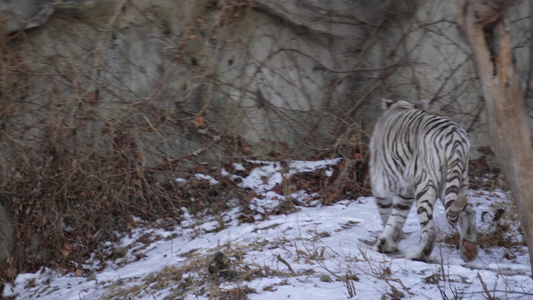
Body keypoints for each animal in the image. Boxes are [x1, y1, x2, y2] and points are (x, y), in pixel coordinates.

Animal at [368, 99, 476, 262]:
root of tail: (455, 139)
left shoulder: (381, 185)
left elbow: (388, 215)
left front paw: (384, 244)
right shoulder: (405, 191)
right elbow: (397, 216)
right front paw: (389, 242)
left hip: (424, 185)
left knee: (430, 229)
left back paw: (417, 255)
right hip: (457, 182)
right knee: (468, 212)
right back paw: (468, 248)